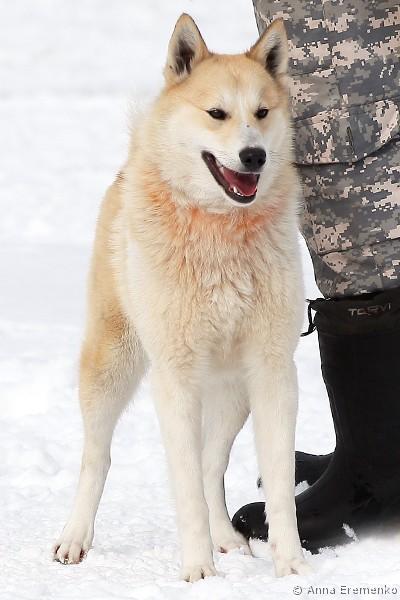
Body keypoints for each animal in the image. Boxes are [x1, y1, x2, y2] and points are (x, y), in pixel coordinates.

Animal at [53, 14, 310, 581]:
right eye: (217, 113)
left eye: (262, 112)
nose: (254, 155)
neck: (220, 231)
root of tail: (127, 167)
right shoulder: (175, 374)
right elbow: (185, 485)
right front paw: (198, 573)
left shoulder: (273, 369)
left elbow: (279, 483)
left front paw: (291, 566)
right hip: (113, 364)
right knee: (97, 458)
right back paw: (75, 538)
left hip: (233, 389)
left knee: (213, 463)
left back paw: (228, 539)